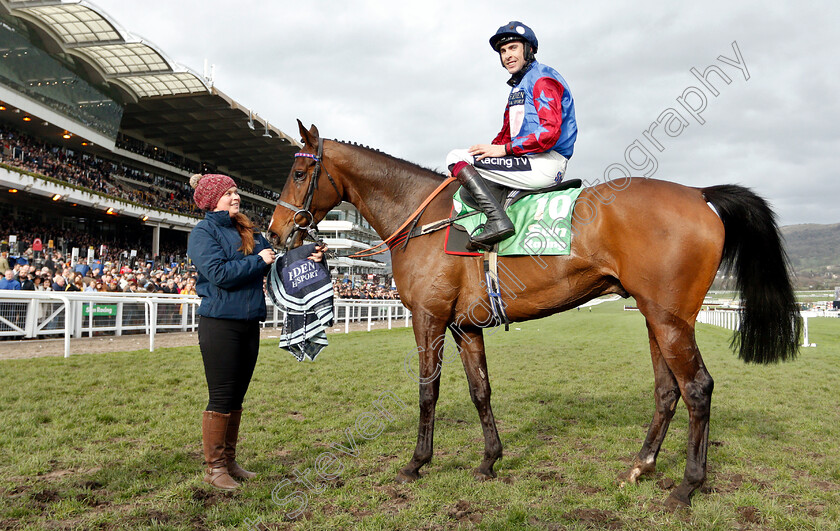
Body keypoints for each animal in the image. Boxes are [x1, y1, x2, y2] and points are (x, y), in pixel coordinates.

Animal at [270, 121, 800, 512]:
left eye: (297, 174)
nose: (275, 233)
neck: (425, 219)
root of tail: (697, 193)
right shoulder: (465, 326)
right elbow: (480, 391)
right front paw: (489, 461)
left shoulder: (429, 319)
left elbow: (427, 392)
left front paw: (416, 463)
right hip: (656, 318)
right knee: (668, 391)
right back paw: (642, 466)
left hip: (670, 319)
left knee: (698, 388)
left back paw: (687, 487)